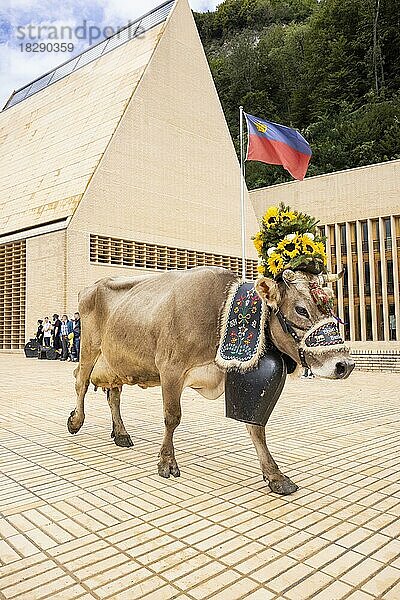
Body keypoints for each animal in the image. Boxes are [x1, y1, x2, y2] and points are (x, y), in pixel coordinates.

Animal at [67, 264, 354, 494]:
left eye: (330, 305)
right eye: (301, 310)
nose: (345, 364)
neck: (220, 313)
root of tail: (90, 287)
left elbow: (256, 428)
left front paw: (275, 476)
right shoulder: (170, 368)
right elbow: (172, 417)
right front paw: (166, 462)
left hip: (116, 363)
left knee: (113, 395)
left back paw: (121, 433)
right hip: (89, 348)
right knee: (81, 382)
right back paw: (76, 421)